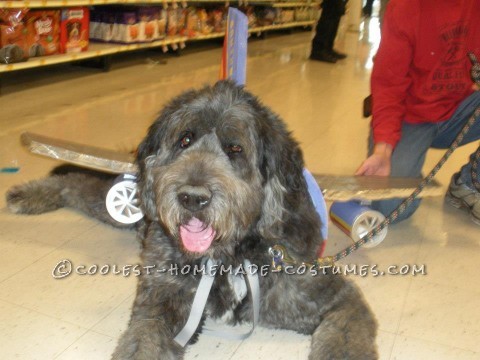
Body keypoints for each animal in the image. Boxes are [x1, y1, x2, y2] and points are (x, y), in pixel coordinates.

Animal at [5, 80, 376, 358]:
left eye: (235, 149)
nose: (192, 198)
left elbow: (345, 335)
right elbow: (143, 341)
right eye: (185, 139)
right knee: (76, 182)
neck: (227, 257)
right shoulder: (161, 302)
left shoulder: (328, 295)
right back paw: (30, 195)